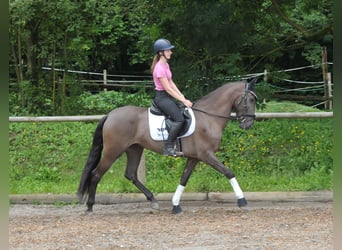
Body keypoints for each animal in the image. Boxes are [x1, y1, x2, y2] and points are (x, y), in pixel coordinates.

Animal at [77, 77, 258, 213]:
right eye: (250, 99)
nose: (248, 124)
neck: (209, 117)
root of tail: (110, 115)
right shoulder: (206, 155)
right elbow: (228, 172)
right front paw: (242, 200)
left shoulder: (194, 157)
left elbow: (184, 178)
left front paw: (175, 205)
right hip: (113, 150)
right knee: (96, 173)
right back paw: (90, 205)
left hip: (134, 149)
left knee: (131, 174)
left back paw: (153, 200)